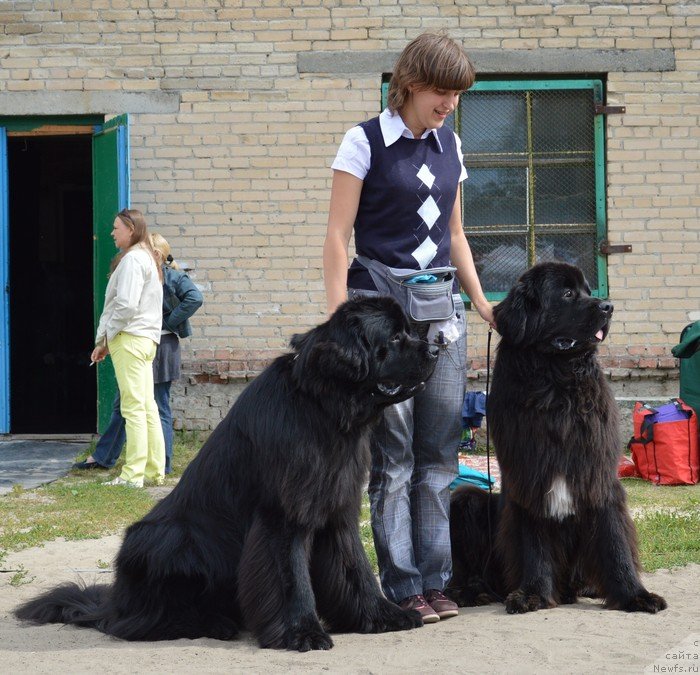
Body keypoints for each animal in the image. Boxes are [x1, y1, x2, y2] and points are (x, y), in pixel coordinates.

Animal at [15, 296, 438, 648]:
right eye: (395, 336)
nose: (437, 347)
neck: (322, 406)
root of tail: (113, 603)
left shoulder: (337, 510)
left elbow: (355, 569)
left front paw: (381, 616)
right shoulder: (281, 516)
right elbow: (291, 577)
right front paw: (301, 632)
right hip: (166, 537)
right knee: (133, 624)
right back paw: (210, 623)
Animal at [448, 262, 668, 616]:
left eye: (588, 290)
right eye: (566, 294)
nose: (608, 307)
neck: (557, 385)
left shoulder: (598, 477)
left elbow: (615, 542)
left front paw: (635, 595)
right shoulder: (529, 478)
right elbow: (533, 544)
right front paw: (533, 594)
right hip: (465, 501)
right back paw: (472, 592)